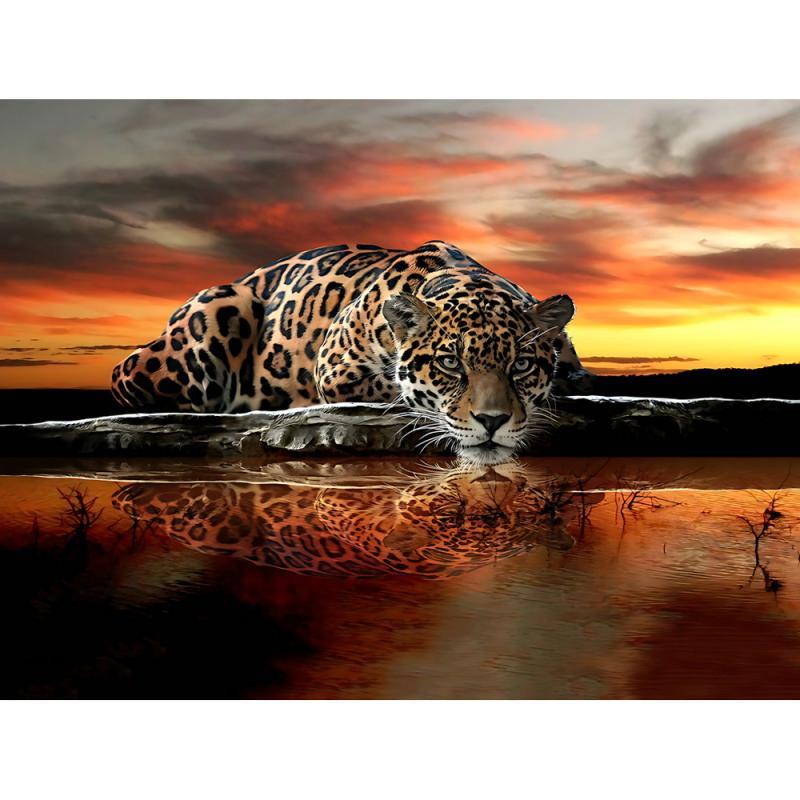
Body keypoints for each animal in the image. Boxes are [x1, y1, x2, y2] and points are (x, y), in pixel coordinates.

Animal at [111, 240, 587, 457]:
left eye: (521, 364)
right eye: (450, 363)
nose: (492, 421)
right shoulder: (336, 368)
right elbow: (396, 390)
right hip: (218, 308)